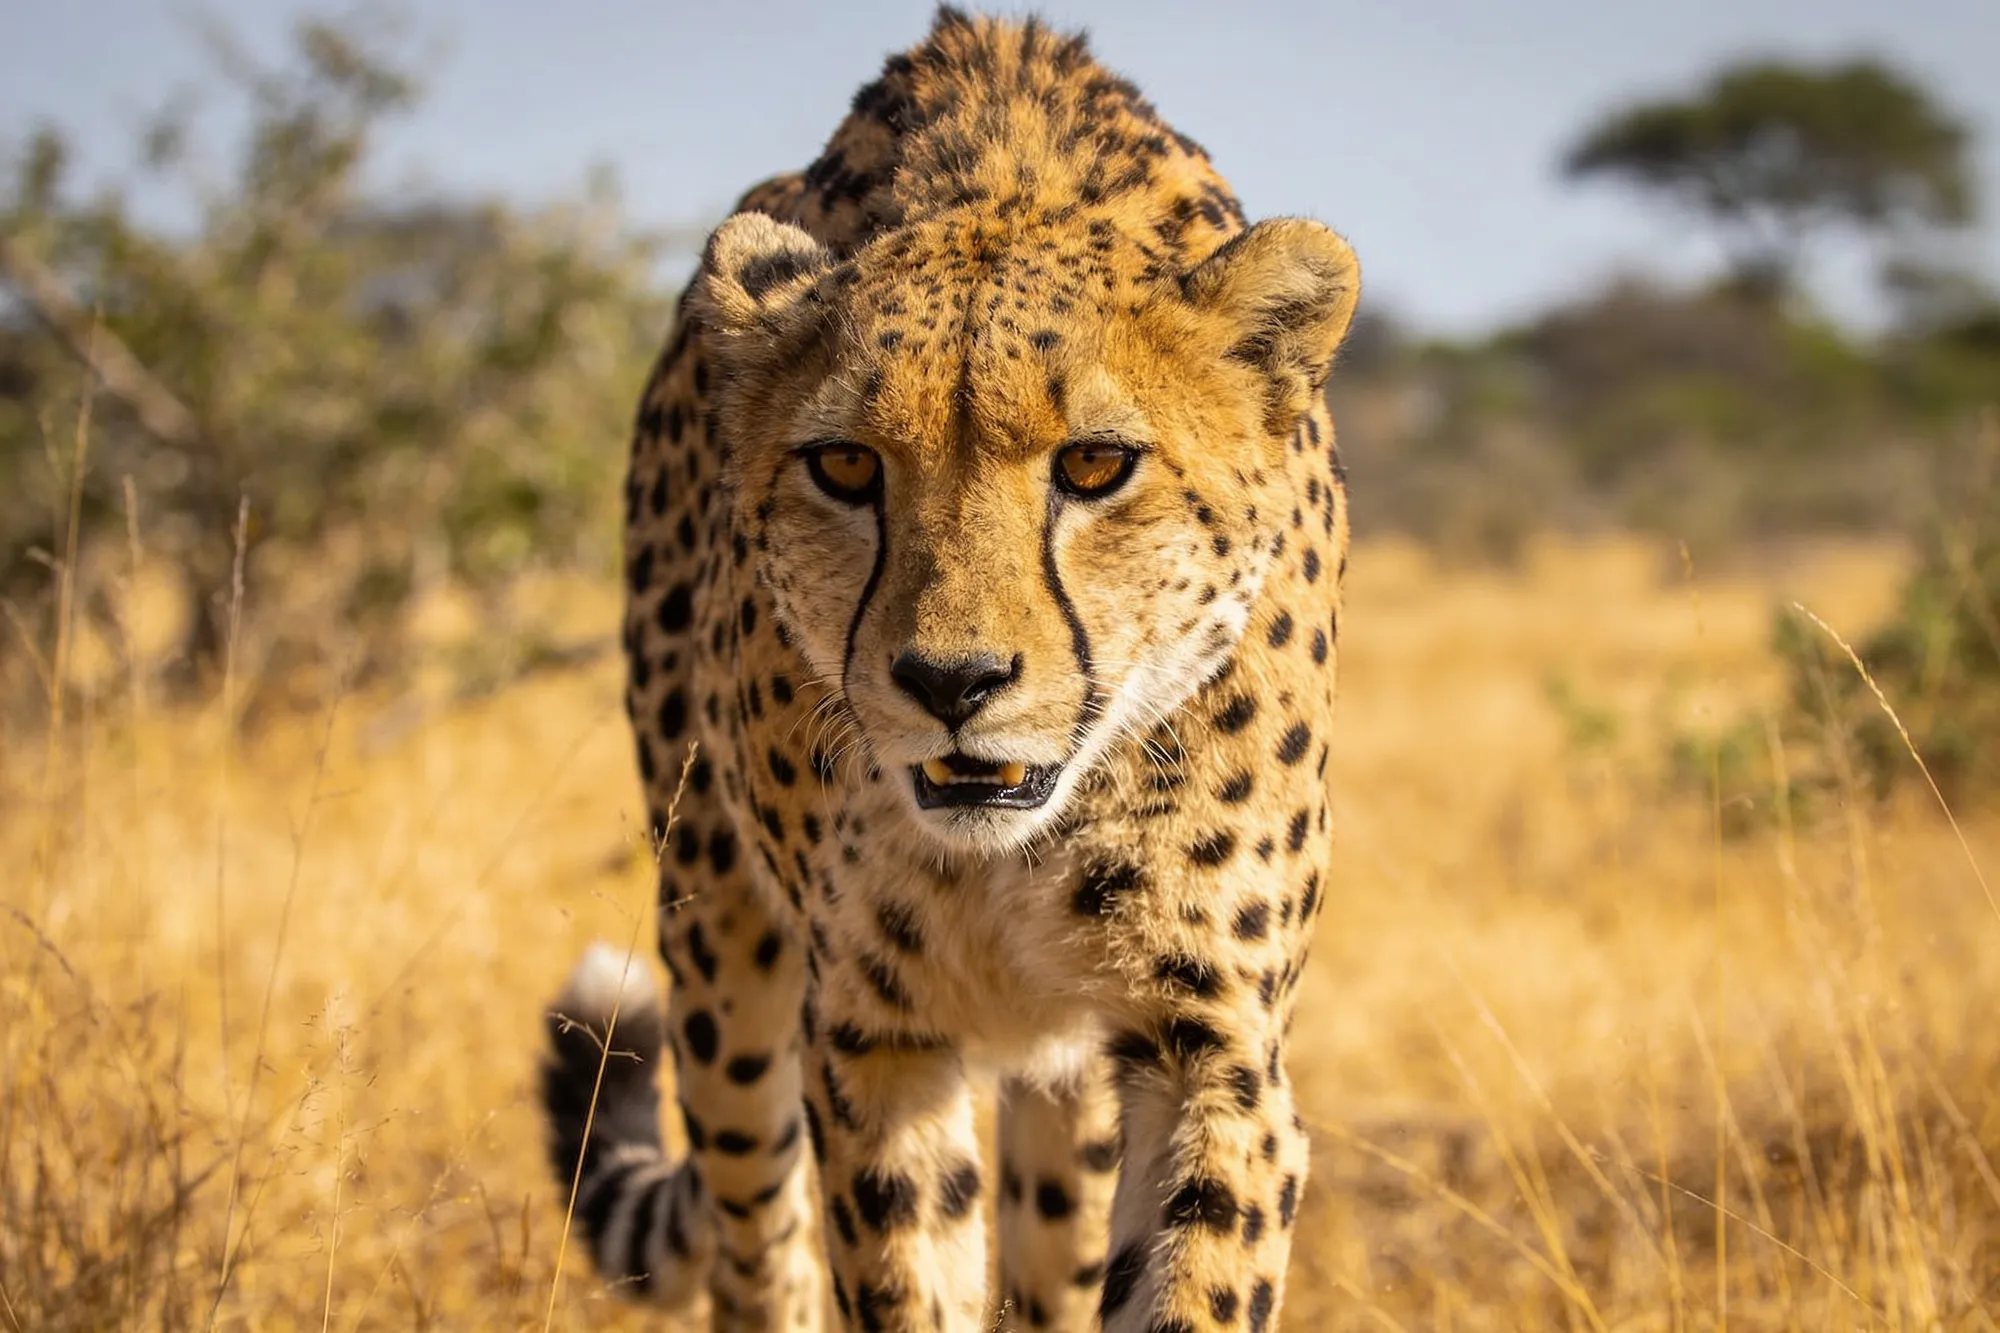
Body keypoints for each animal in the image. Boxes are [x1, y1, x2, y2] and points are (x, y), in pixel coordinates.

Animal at [538, 8, 1360, 1330]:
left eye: (1094, 464)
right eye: (843, 465)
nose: (951, 683)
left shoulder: (1209, 1039)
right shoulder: (872, 1034)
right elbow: (899, 1268)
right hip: (718, 944)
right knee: (752, 1236)